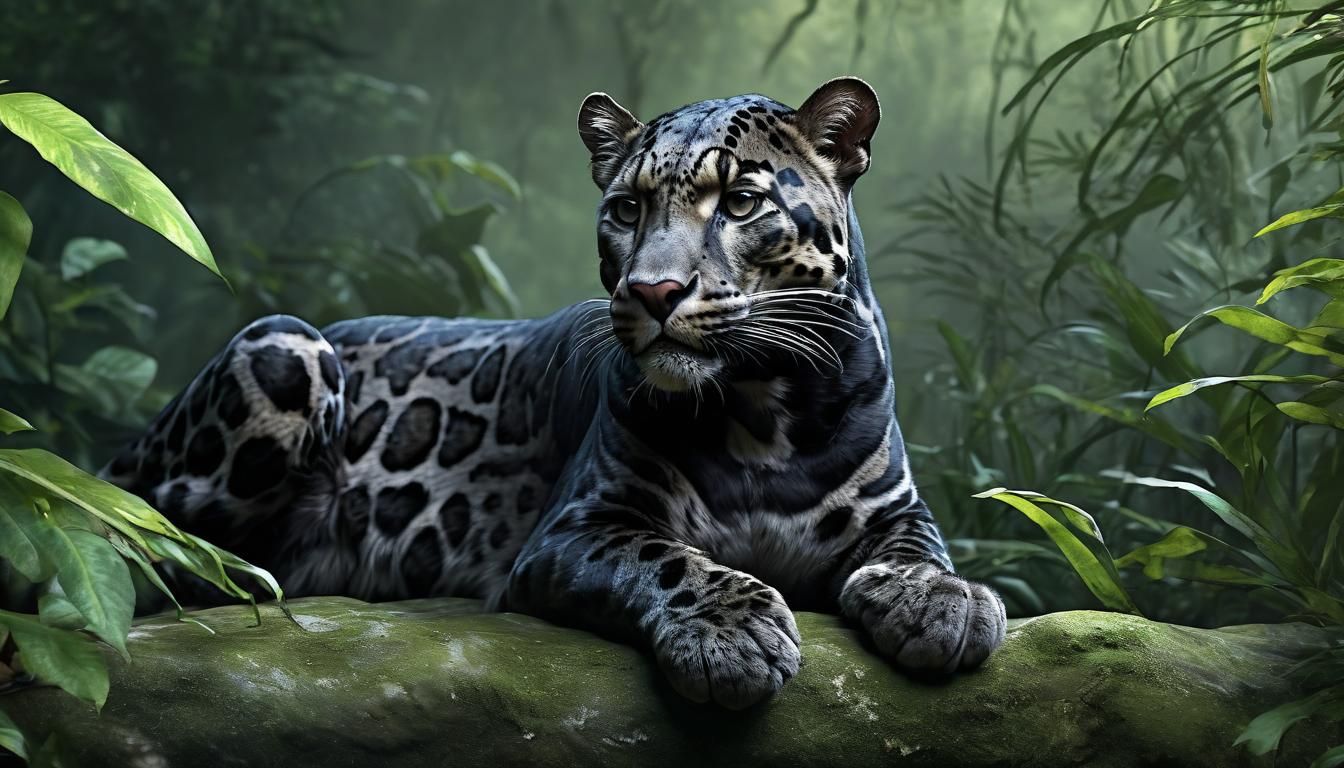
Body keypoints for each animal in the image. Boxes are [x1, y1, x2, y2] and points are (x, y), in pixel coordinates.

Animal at [101, 77, 1007, 709]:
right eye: (627, 209)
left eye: (743, 202)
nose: (653, 291)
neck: (762, 406)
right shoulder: (579, 526)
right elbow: (669, 557)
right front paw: (733, 632)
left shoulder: (895, 506)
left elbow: (921, 547)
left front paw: (945, 603)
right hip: (285, 344)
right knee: (146, 546)